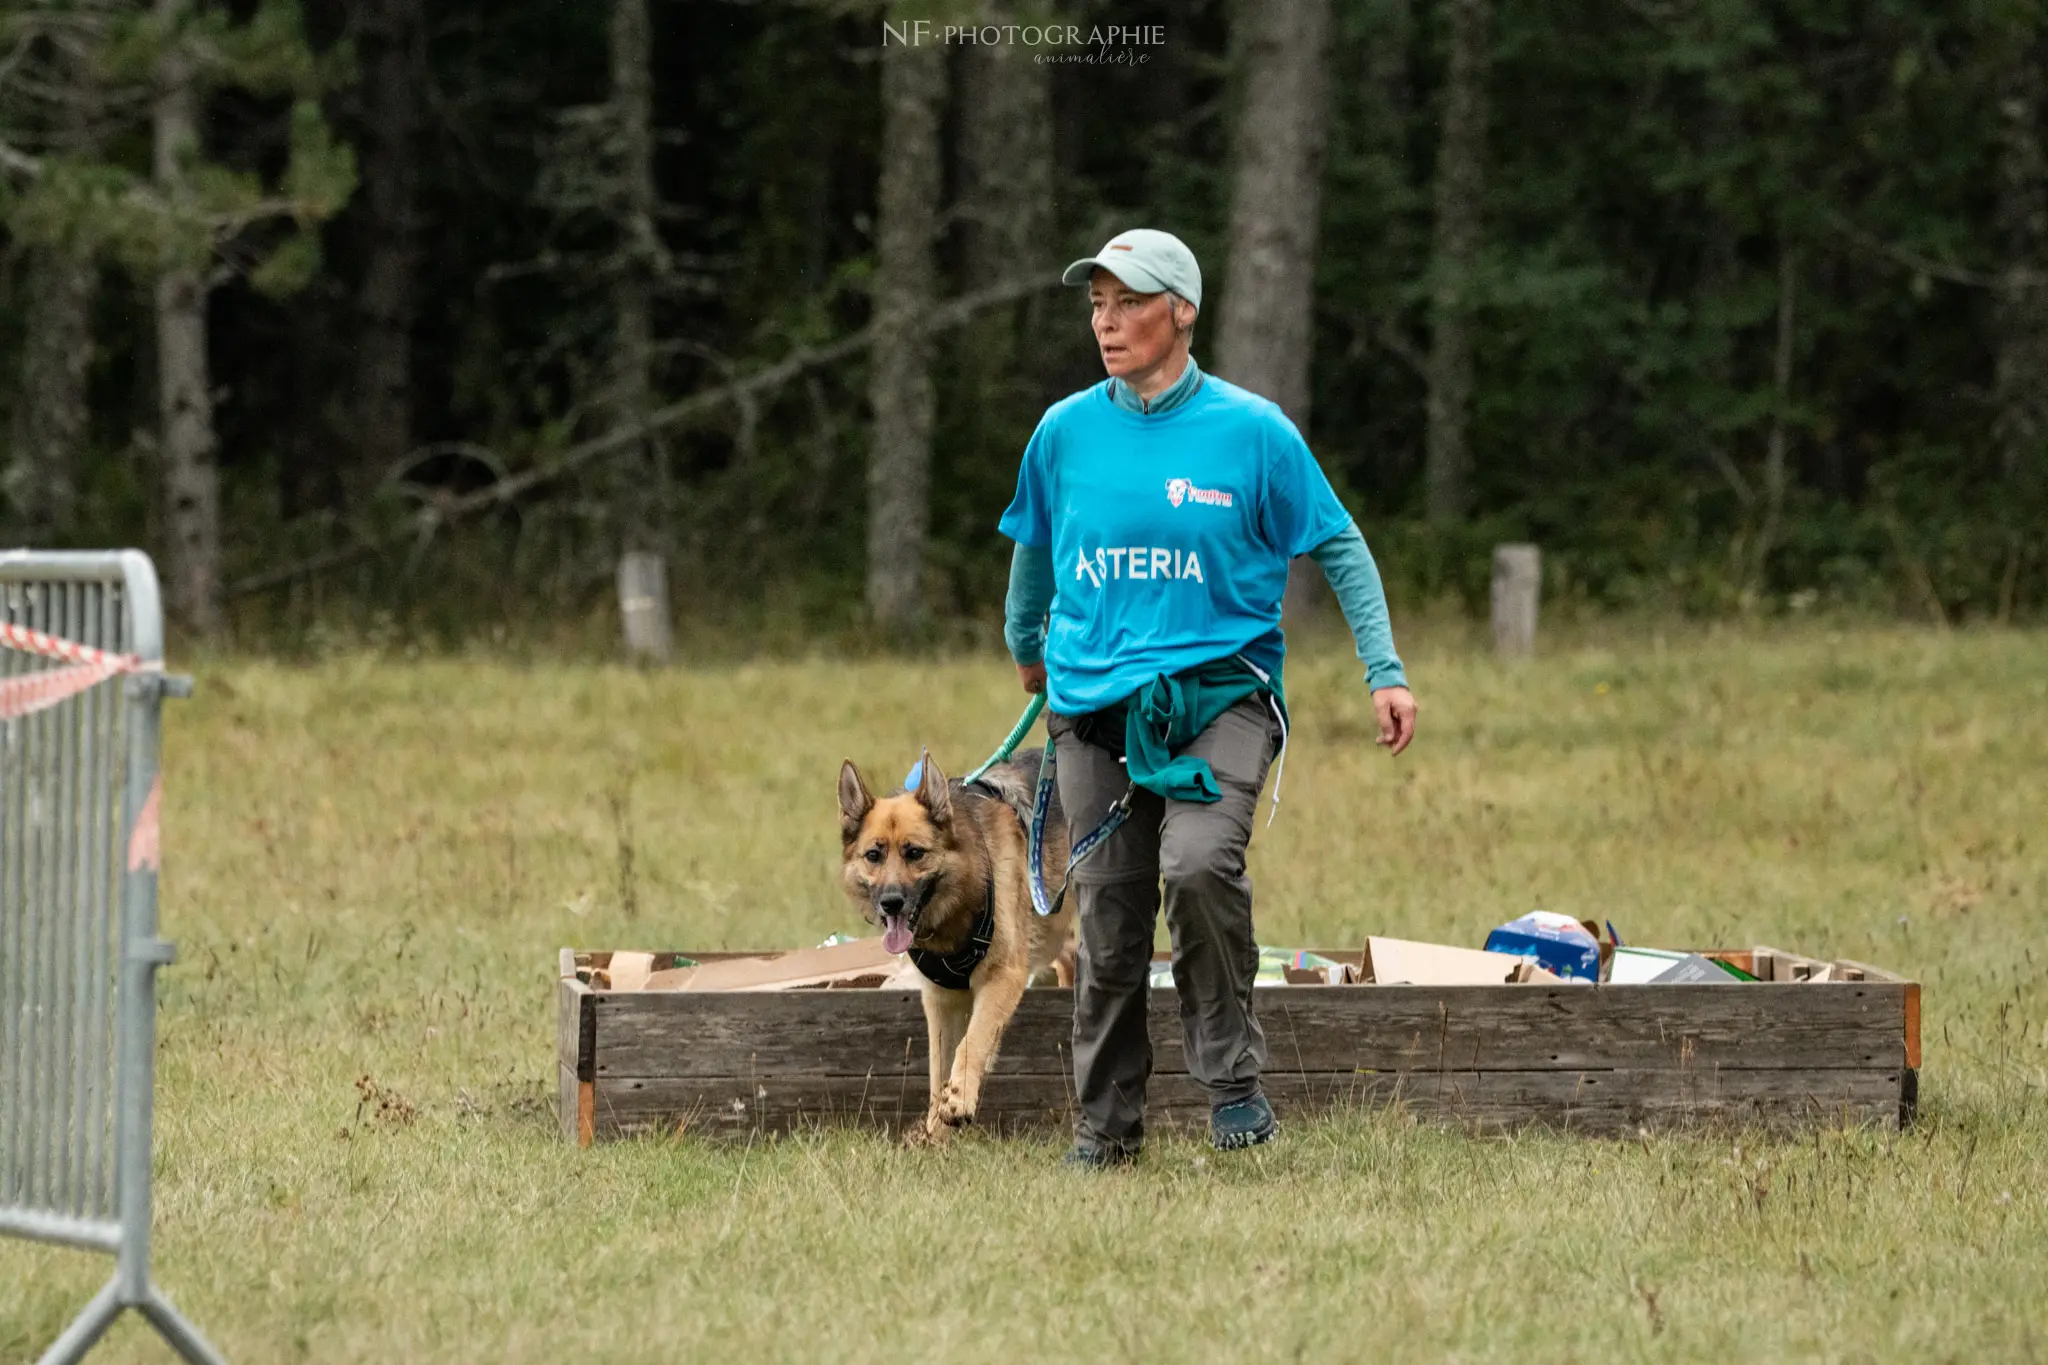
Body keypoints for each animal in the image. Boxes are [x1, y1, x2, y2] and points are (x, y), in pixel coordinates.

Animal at [839, 749, 1081, 1146]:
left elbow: (972, 1043)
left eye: (915, 853)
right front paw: (936, 1136)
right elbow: (939, 1069)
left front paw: (960, 1101)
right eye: (874, 855)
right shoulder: (942, 1001)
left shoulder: (1001, 978)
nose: (890, 903)